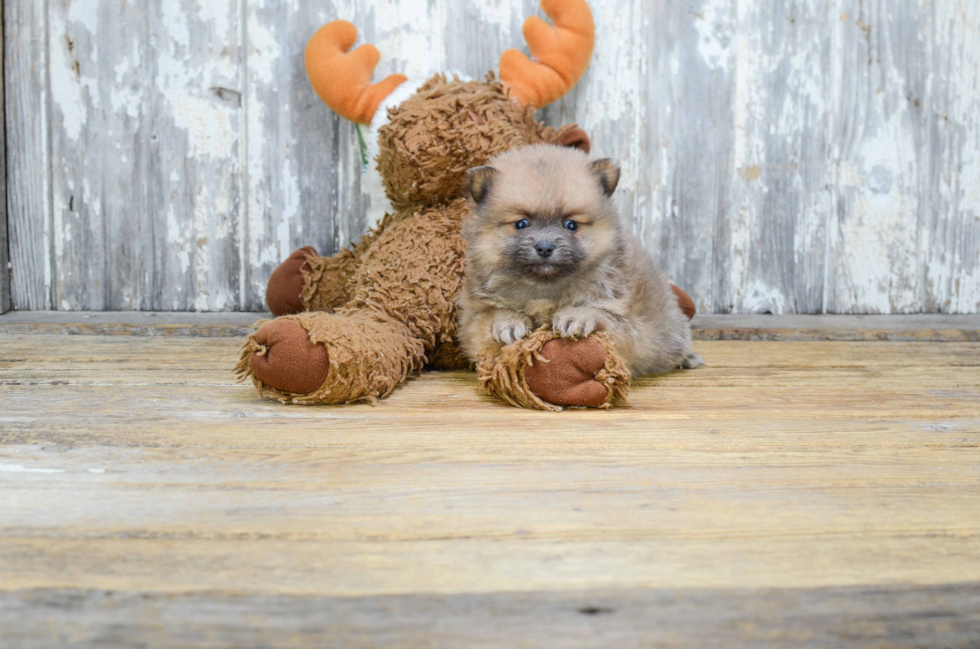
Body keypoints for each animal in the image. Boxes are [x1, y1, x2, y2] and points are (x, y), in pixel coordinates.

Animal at [456, 143, 700, 374]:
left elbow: (599, 314)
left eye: (571, 225)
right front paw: (508, 320)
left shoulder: (625, 323)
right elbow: (488, 316)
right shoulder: (472, 323)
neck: (544, 288)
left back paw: (688, 358)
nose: (545, 247)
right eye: (521, 224)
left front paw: (576, 316)